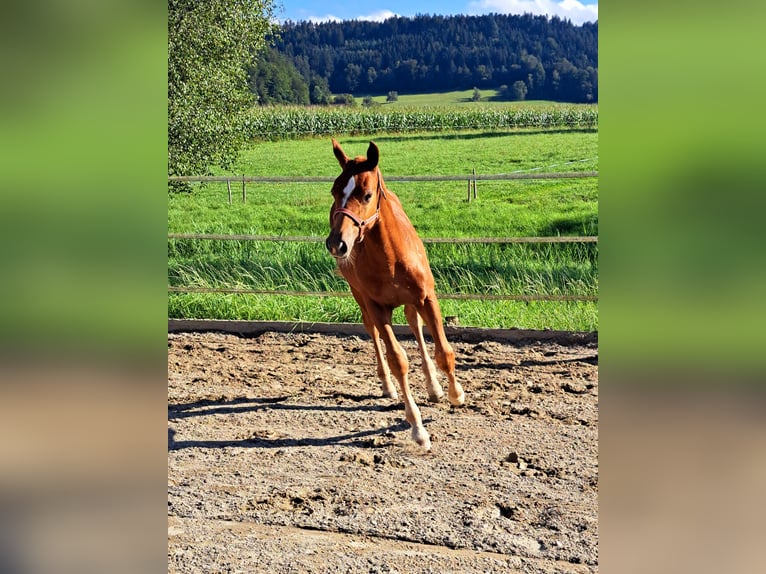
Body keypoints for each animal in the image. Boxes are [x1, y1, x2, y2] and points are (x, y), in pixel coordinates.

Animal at [326, 138, 464, 450]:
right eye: (334, 191)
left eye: (366, 195)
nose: (336, 243)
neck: (390, 257)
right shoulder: (377, 307)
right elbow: (397, 360)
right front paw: (418, 429)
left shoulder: (427, 298)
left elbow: (444, 352)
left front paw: (455, 394)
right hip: (360, 298)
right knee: (373, 332)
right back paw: (388, 386)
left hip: (412, 302)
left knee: (415, 325)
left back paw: (434, 387)